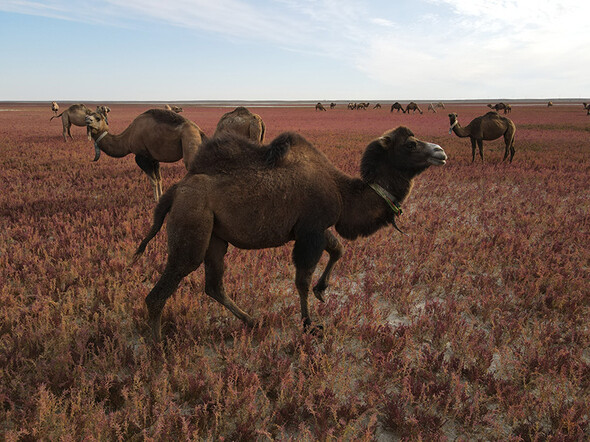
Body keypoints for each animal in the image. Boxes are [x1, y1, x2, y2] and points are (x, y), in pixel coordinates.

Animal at [133, 126, 448, 340]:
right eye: (411, 144)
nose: (441, 152)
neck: (343, 192)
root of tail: (176, 190)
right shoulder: (310, 231)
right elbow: (302, 280)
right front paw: (310, 325)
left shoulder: (314, 228)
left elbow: (338, 250)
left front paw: (323, 290)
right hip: (192, 223)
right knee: (163, 289)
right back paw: (157, 352)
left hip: (215, 237)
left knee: (214, 285)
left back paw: (252, 321)